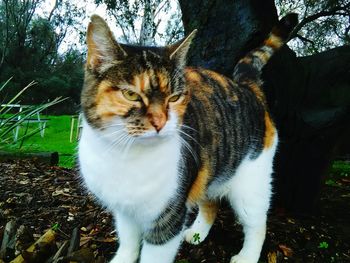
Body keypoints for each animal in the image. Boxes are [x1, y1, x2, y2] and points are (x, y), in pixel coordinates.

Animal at [78, 12, 298, 263]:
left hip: (251, 182)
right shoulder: (124, 211)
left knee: (257, 223)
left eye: (174, 98)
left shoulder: (169, 217)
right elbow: (128, 240)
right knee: (210, 203)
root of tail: (246, 86)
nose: (160, 122)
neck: (125, 155)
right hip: (209, 168)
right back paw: (198, 233)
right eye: (131, 94)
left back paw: (247, 256)